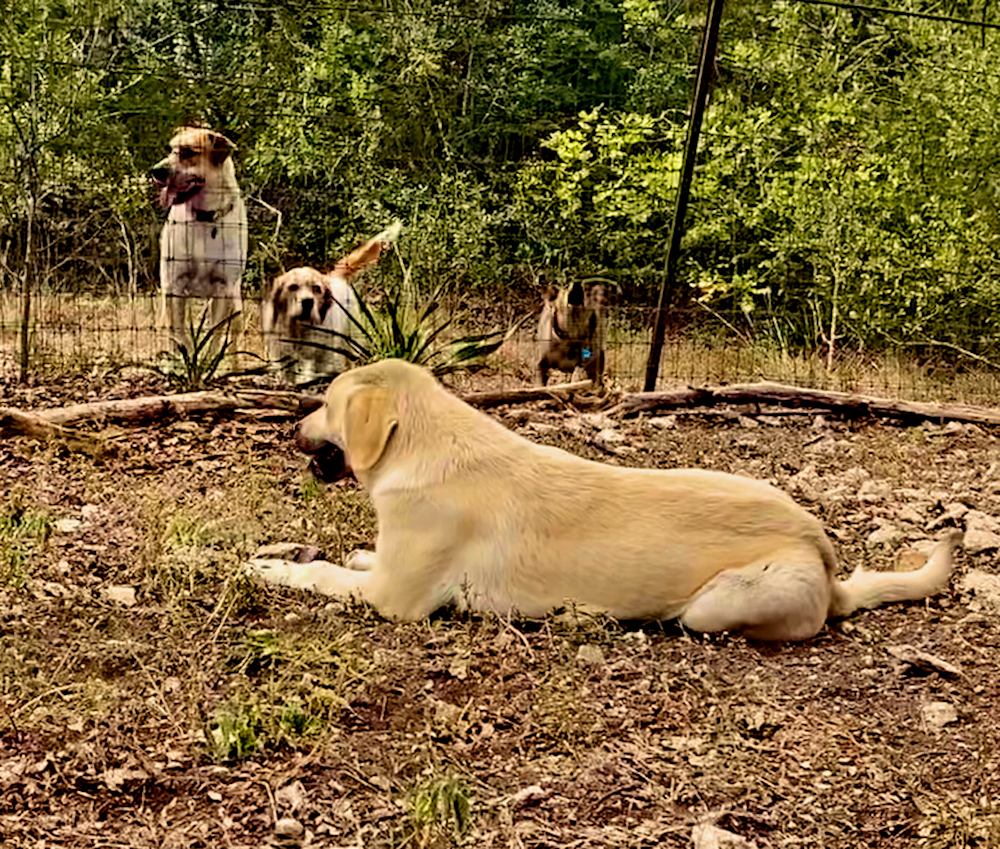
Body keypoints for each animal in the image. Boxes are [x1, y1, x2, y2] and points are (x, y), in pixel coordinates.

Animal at [150, 122, 248, 354]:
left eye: (188, 152)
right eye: (171, 150)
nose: (155, 171)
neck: (205, 217)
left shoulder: (223, 287)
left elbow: (214, 336)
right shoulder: (175, 285)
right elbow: (179, 334)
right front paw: (182, 356)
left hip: (235, 302)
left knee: (233, 338)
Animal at [246, 358, 956, 644]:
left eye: (324, 404)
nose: (290, 429)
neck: (419, 443)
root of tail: (826, 558)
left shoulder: (395, 600)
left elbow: (319, 573)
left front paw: (269, 565)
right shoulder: (391, 568)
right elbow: (354, 559)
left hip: (715, 606)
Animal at [262, 224, 402, 386]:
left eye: (317, 288)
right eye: (293, 287)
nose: (308, 302)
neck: (300, 328)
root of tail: (334, 276)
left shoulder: (321, 351)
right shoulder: (283, 350)